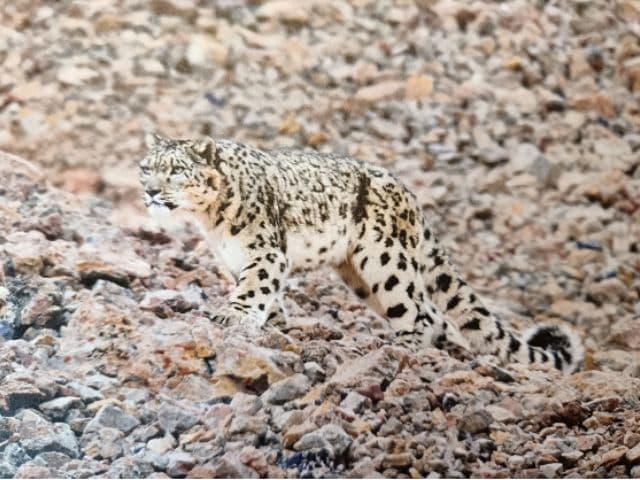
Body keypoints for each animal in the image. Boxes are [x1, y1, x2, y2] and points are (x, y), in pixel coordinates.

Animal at [138, 133, 583, 373]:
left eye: (176, 171)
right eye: (146, 167)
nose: (151, 191)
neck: (210, 221)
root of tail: (411, 197)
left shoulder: (265, 251)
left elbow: (254, 286)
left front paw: (233, 315)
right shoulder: (234, 257)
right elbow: (265, 294)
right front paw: (276, 323)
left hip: (386, 262)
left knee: (419, 312)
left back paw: (402, 347)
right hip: (360, 275)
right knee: (434, 313)